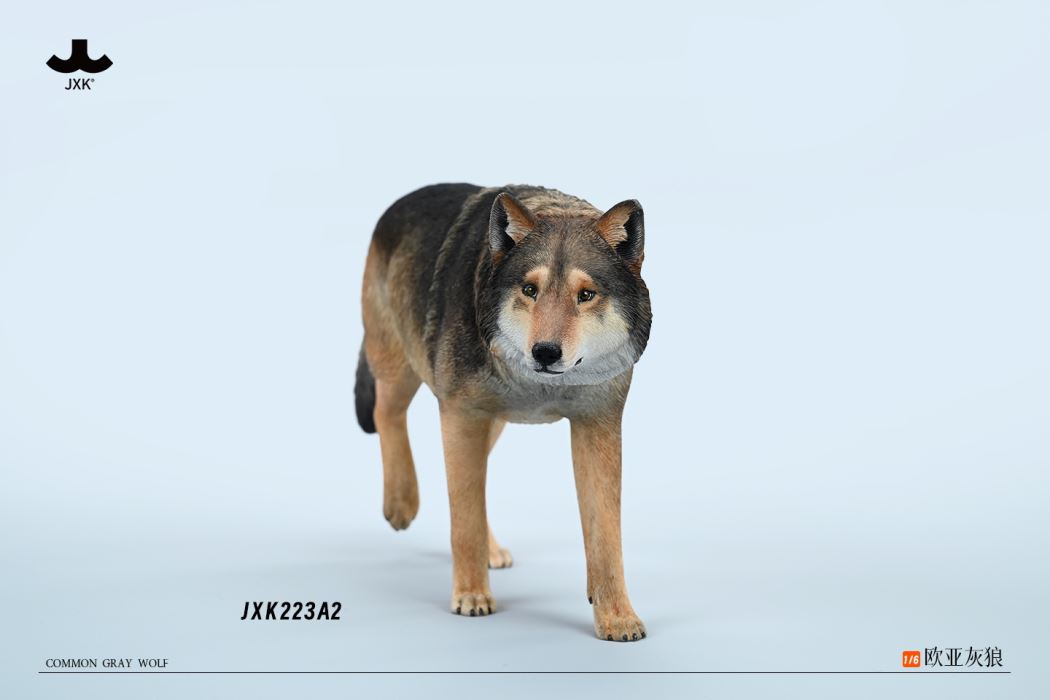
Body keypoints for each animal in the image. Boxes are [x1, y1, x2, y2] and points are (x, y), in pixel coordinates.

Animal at [355, 184, 652, 641]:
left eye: (585, 295)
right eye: (530, 290)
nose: (545, 352)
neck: (541, 387)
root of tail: (402, 201)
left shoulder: (597, 426)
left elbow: (605, 537)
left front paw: (617, 618)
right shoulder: (461, 415)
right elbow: (465, 520)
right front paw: (472, 595)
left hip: (490, 422)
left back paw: (490, 549)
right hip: (403, 368)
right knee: (388, 414)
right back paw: (401, 502)